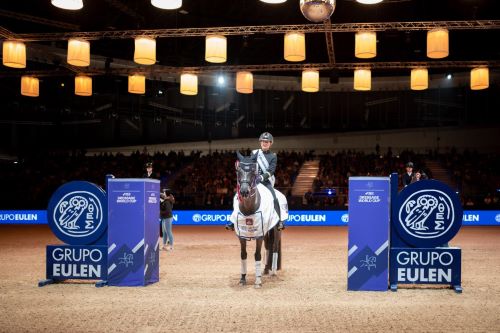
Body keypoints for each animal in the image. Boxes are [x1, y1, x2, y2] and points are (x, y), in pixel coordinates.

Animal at [228, 152, 288, 286]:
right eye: (238, 171)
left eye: (252, 171)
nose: (244, 191)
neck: (249, 209)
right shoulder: (242, 235)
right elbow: (243, 255)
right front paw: (243, 279)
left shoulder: (259, 235)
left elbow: (257, 255)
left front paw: (258, 281)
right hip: (266, 231)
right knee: (268, 247)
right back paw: (265, 269)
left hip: (276, 230)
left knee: (274, 247)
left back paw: (273, 272)